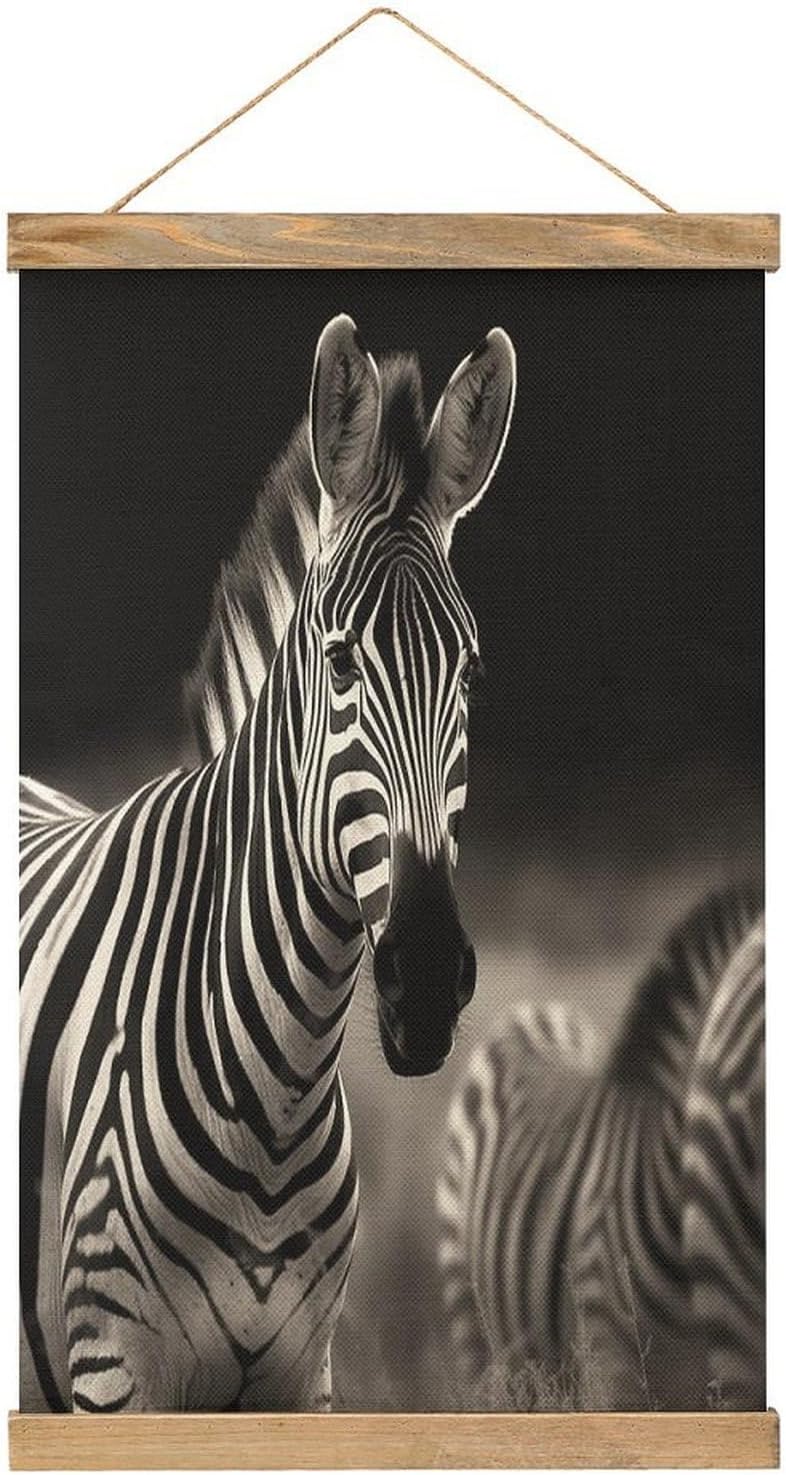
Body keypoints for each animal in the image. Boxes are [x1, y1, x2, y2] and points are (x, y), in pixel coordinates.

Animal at [20, 312, 517, 1413]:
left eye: (468, 670)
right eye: (339, 661)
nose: (426, 979)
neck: (275, 1096)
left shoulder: (302, 1373)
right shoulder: (113, 1369)